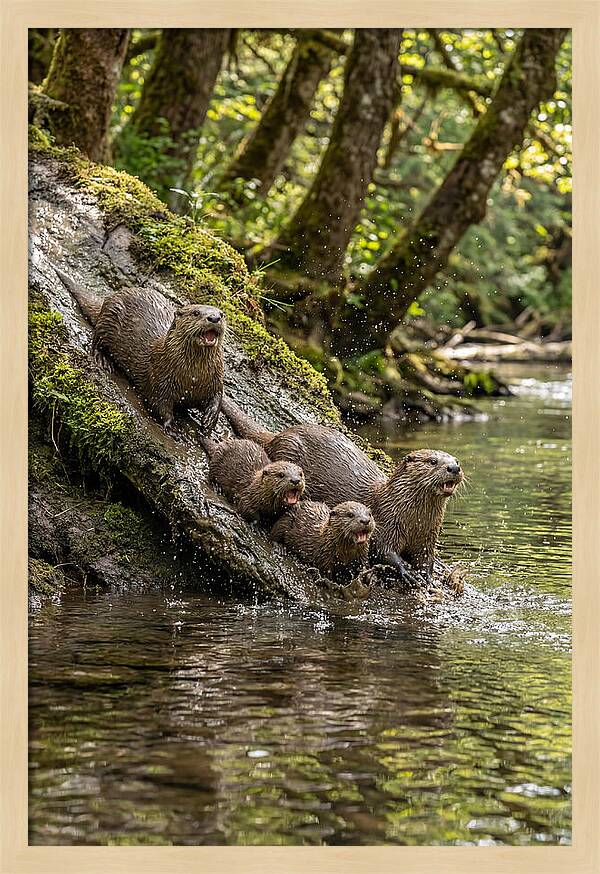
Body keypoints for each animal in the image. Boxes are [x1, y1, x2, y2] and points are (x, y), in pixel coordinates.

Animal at [54, 267, 225, 434]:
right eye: (196, 313)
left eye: (222, 314)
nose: (214, 318)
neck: (193, 378)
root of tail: (112, 296)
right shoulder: (159, 379)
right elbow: (159, 404)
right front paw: (172, 426)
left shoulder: (215, 379)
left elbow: (218, 396)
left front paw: (210, 418)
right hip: (109, 317)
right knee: (96, 338)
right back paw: (102, 359)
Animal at [221, 397, 463, 576]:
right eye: (433, 461)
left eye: (456, 460)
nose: (453, 468)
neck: (414, 520)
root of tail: (280, 435)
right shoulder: (386, 524)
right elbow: (383, 550)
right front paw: (406, 571)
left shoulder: (428, 537)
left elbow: (426, 558)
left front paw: (427, 575)